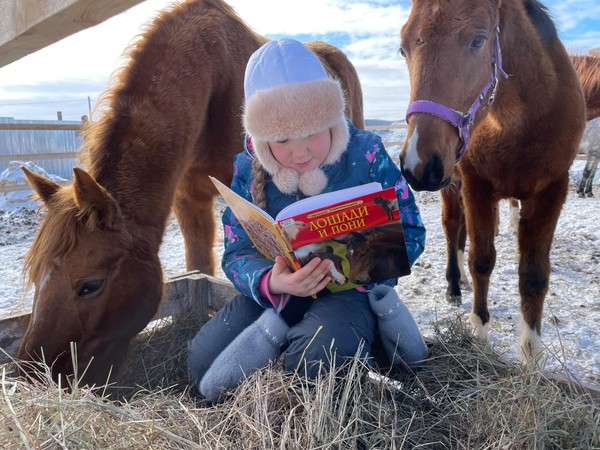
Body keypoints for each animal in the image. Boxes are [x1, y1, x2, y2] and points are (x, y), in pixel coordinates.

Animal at [18, 0, 364, 386]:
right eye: (36, 278)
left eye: (90, 285)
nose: (33, 375)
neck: (213, 86)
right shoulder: (190, 201)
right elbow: (200, 267)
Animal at [398, 0, 584, 358]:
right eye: (404, 48)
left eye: (478, 40)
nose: (418, 164)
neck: (520, 124)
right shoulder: (476, 187)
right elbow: (481, 260)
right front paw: (480, 333)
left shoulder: (552, 191)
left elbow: (534, 275)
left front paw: (531, 352)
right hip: (452, 187)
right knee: (452, 227)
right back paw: (454, 284)